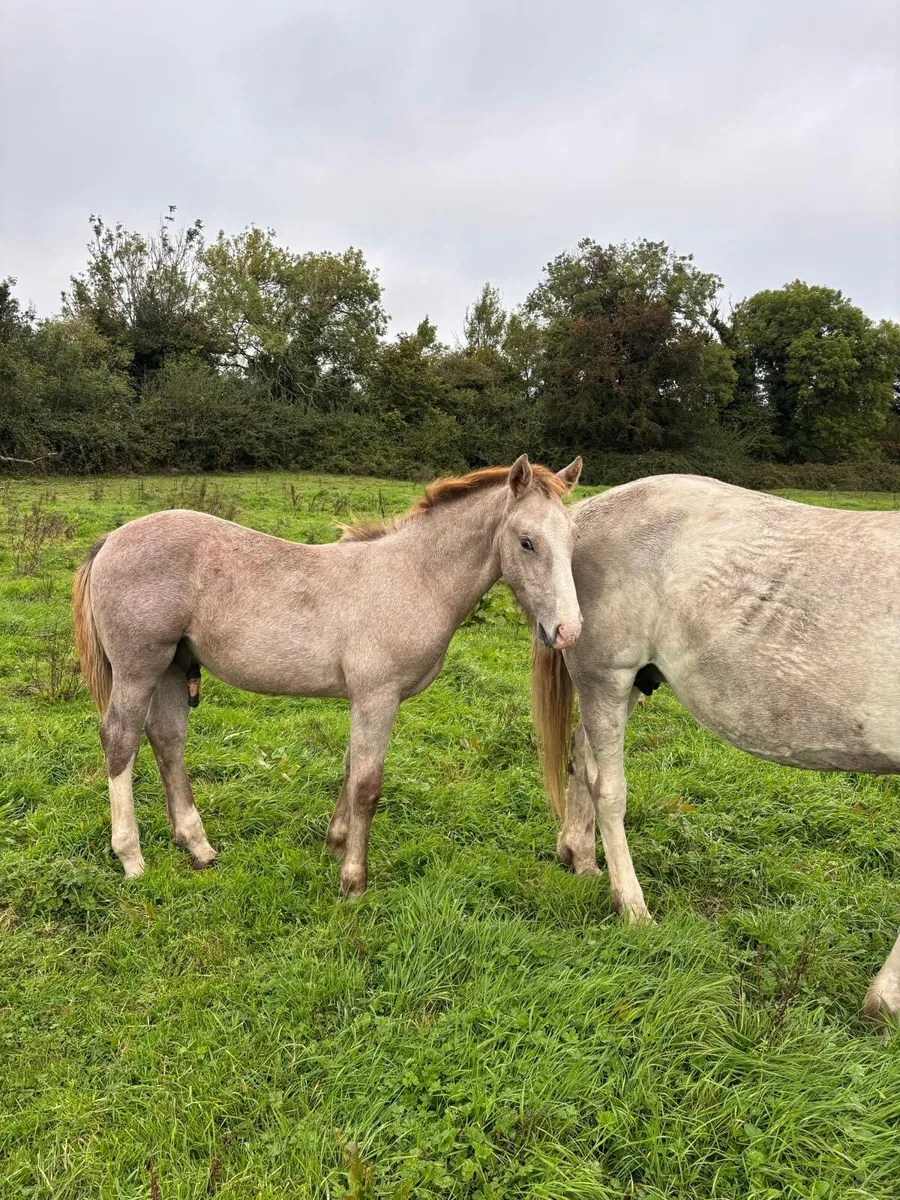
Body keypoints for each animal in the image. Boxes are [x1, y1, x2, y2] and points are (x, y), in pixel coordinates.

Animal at [72, 455, 582, 897]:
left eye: (573, 539)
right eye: (527, 541)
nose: (568, 630)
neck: (415, 577)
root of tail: (110, 540)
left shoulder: (364, 699)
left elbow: (351, 769)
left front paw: (335, 845)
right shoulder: (378, 696)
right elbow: (368, 785)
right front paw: (353, 880)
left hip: (174, 668)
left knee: (167, 739)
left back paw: (198, 847)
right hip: (139, 668)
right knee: (120, 740)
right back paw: (131, 858)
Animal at [531, 474, 900, 1022]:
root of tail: (586, 512)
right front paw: (886, 1003)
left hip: (633, 682)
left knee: (581, 756)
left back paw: (580, 859)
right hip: (606, 677)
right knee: (608, 790)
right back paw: (632, 907)